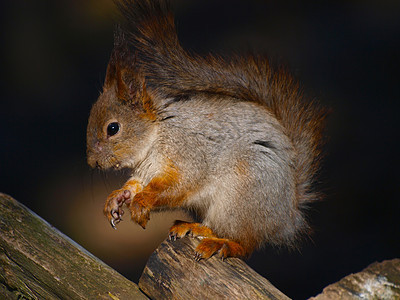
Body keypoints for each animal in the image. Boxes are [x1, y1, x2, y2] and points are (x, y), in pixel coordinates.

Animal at [86, 0, 326, 258]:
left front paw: (141, 203)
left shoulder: (189, 152)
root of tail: (287, 217)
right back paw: (192, 227)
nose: (92, 163)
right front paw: (117, 198)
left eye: (113, 128)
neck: (158, 136)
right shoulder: (147, 172)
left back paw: (221, 243)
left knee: (244, 243)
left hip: (242, 198)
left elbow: (179, 185)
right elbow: (136, 186)